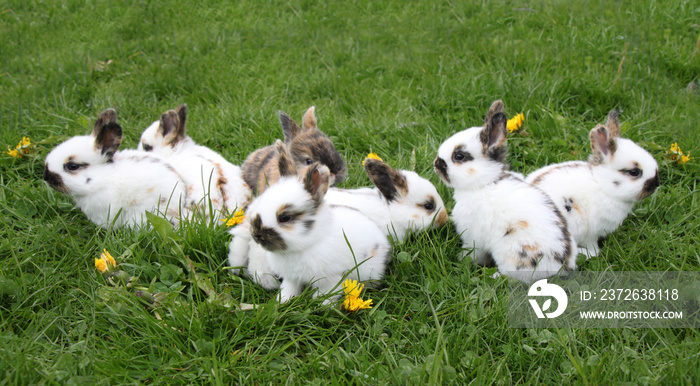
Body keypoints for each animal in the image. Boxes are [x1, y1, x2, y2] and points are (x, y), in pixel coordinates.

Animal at [235, 140, 388, 304]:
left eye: (284, 218)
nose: (256, 235)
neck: (308, 243)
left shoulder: (332, 278)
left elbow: (327, 293)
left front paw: (321, 304)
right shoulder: (292, 278)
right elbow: (289, 289)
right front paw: (283, 301)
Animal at [434, 100, 576, 284]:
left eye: (459, 156)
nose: (436, 164)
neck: (484, 183)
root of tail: (560, 266)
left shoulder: (473, 237)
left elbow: (474, 253)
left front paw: (461, 258)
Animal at [528, 110, 660, 258]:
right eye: (634, 172)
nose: (657, 183)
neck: (602, 186)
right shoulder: (591, 232)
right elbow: (593, 246)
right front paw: (591, 253)